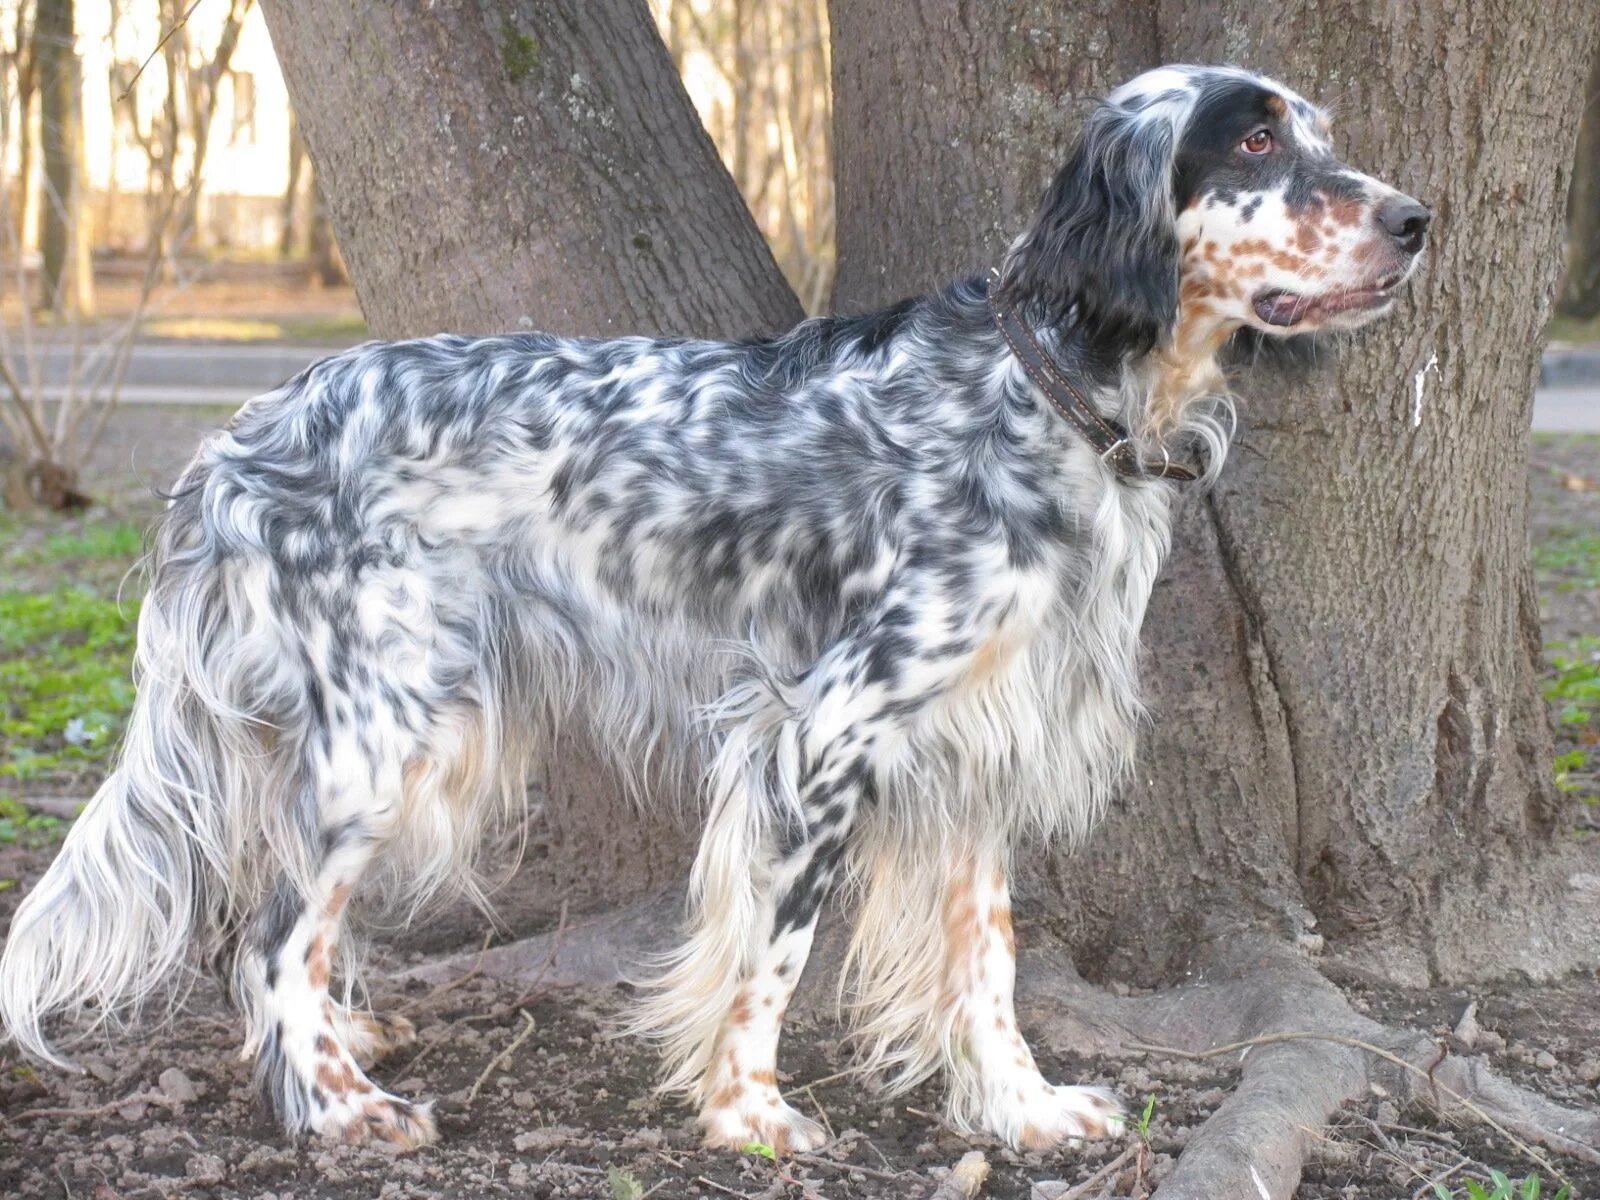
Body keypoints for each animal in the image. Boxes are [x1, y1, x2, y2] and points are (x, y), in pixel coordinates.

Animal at [0, 65, 1427, 1158]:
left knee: (283, 924)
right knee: (268, 937)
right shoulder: (820, 734)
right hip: (383, 738)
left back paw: (344, 1045)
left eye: (1321, 131)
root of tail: (237, 438)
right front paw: (749, 1118)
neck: (1049, 394)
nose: (1416, 218)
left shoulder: (985, 746)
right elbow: (771, 959)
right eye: (1253, 139)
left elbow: (989, 961)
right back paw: (335, 1107)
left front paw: (1018, 1111)